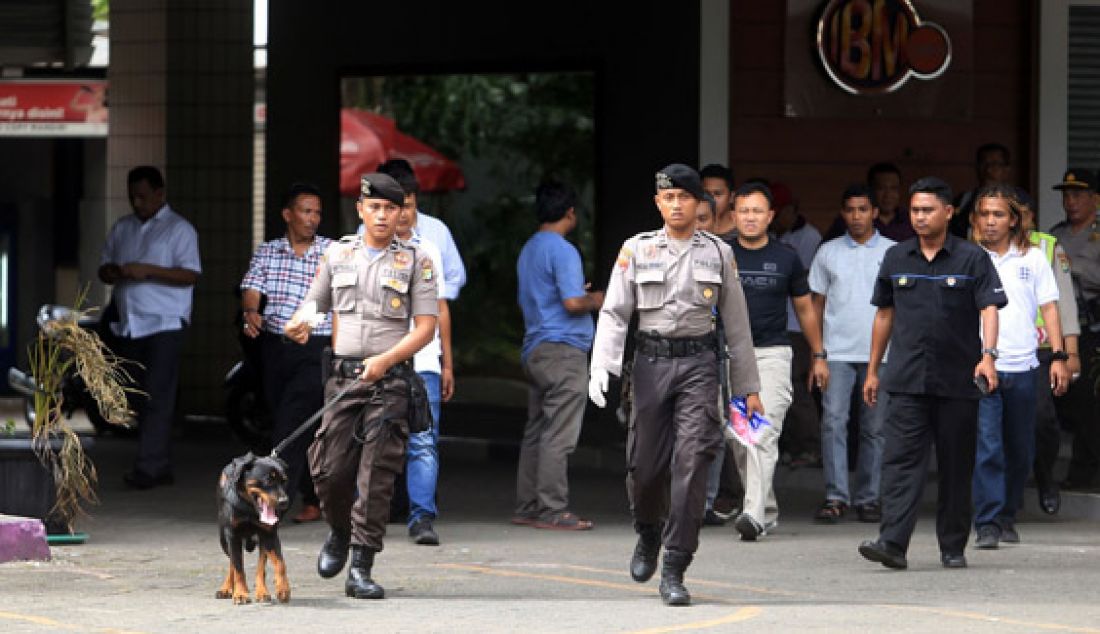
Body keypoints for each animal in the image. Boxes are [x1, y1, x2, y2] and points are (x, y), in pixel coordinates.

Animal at [214, 451, 290, 603]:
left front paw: (283, 588)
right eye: (268, 481)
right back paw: (226, 588)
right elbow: (238, 568)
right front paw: (240, 593)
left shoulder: (270, 535)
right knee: (232, 563)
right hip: (224, 540)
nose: (284, 502)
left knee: (261, 567)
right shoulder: (233, 536)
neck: (249, 508)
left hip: (262, 541)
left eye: (284, 481)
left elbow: (280, 564)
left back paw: (262, 591)